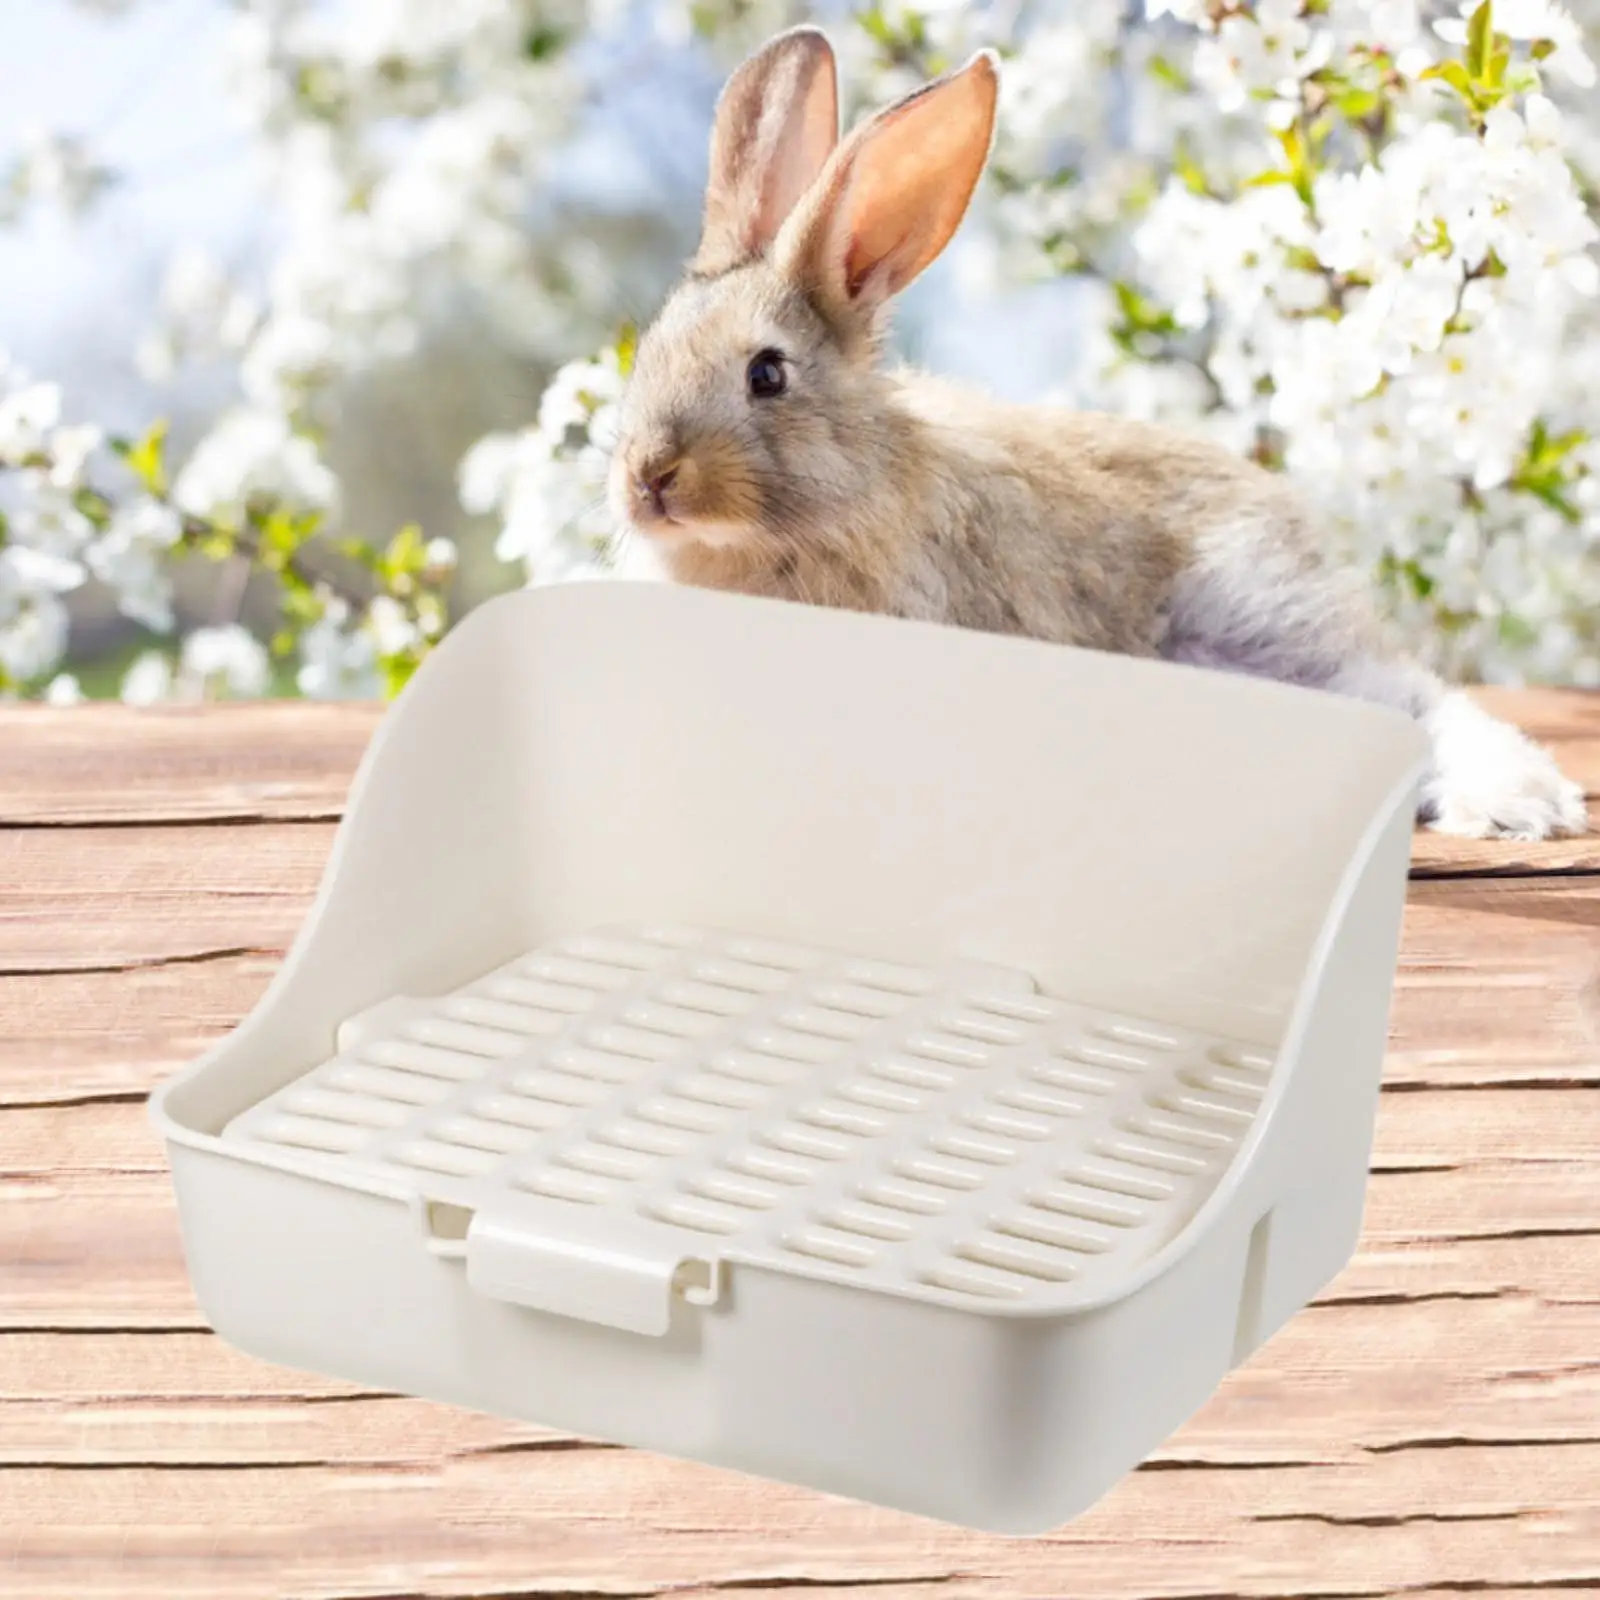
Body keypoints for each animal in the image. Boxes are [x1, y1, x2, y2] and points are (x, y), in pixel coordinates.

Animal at [607, 26, 1587, 841]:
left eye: (766, 374)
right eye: (648, 351)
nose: (648, 478)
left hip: (1254, 620)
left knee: (1406, 697)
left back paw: (1518, 803)